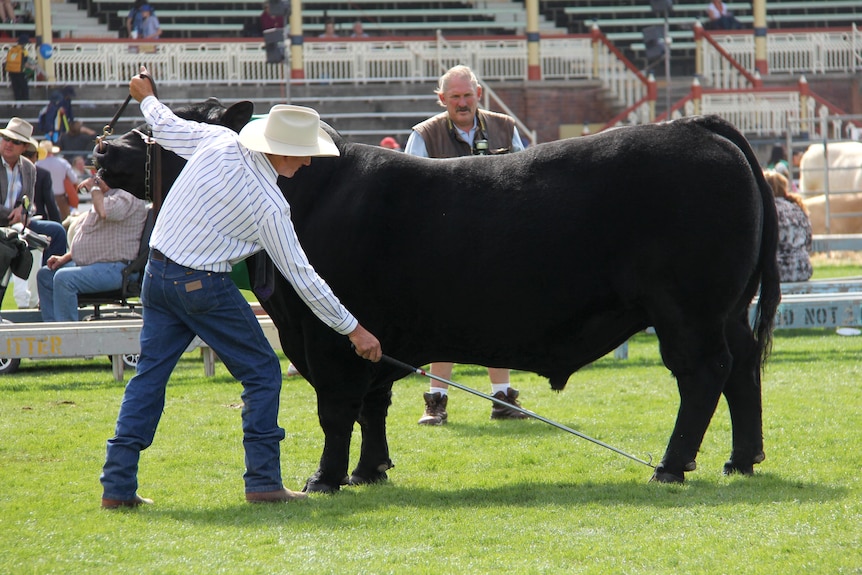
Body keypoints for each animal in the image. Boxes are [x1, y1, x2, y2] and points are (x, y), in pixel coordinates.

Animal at [94, 99, 784, 490]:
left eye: (180, 125)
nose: (102, 148)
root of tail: (698, 126)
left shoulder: (326, 339)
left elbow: (336, 409)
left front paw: (326, 478)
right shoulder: (365, 335)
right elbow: (372, 406)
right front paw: (372, 472)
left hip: (688, 310)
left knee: (704, 374)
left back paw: (673, 465)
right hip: (727, 308)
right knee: (744, 367)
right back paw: (742, 459)